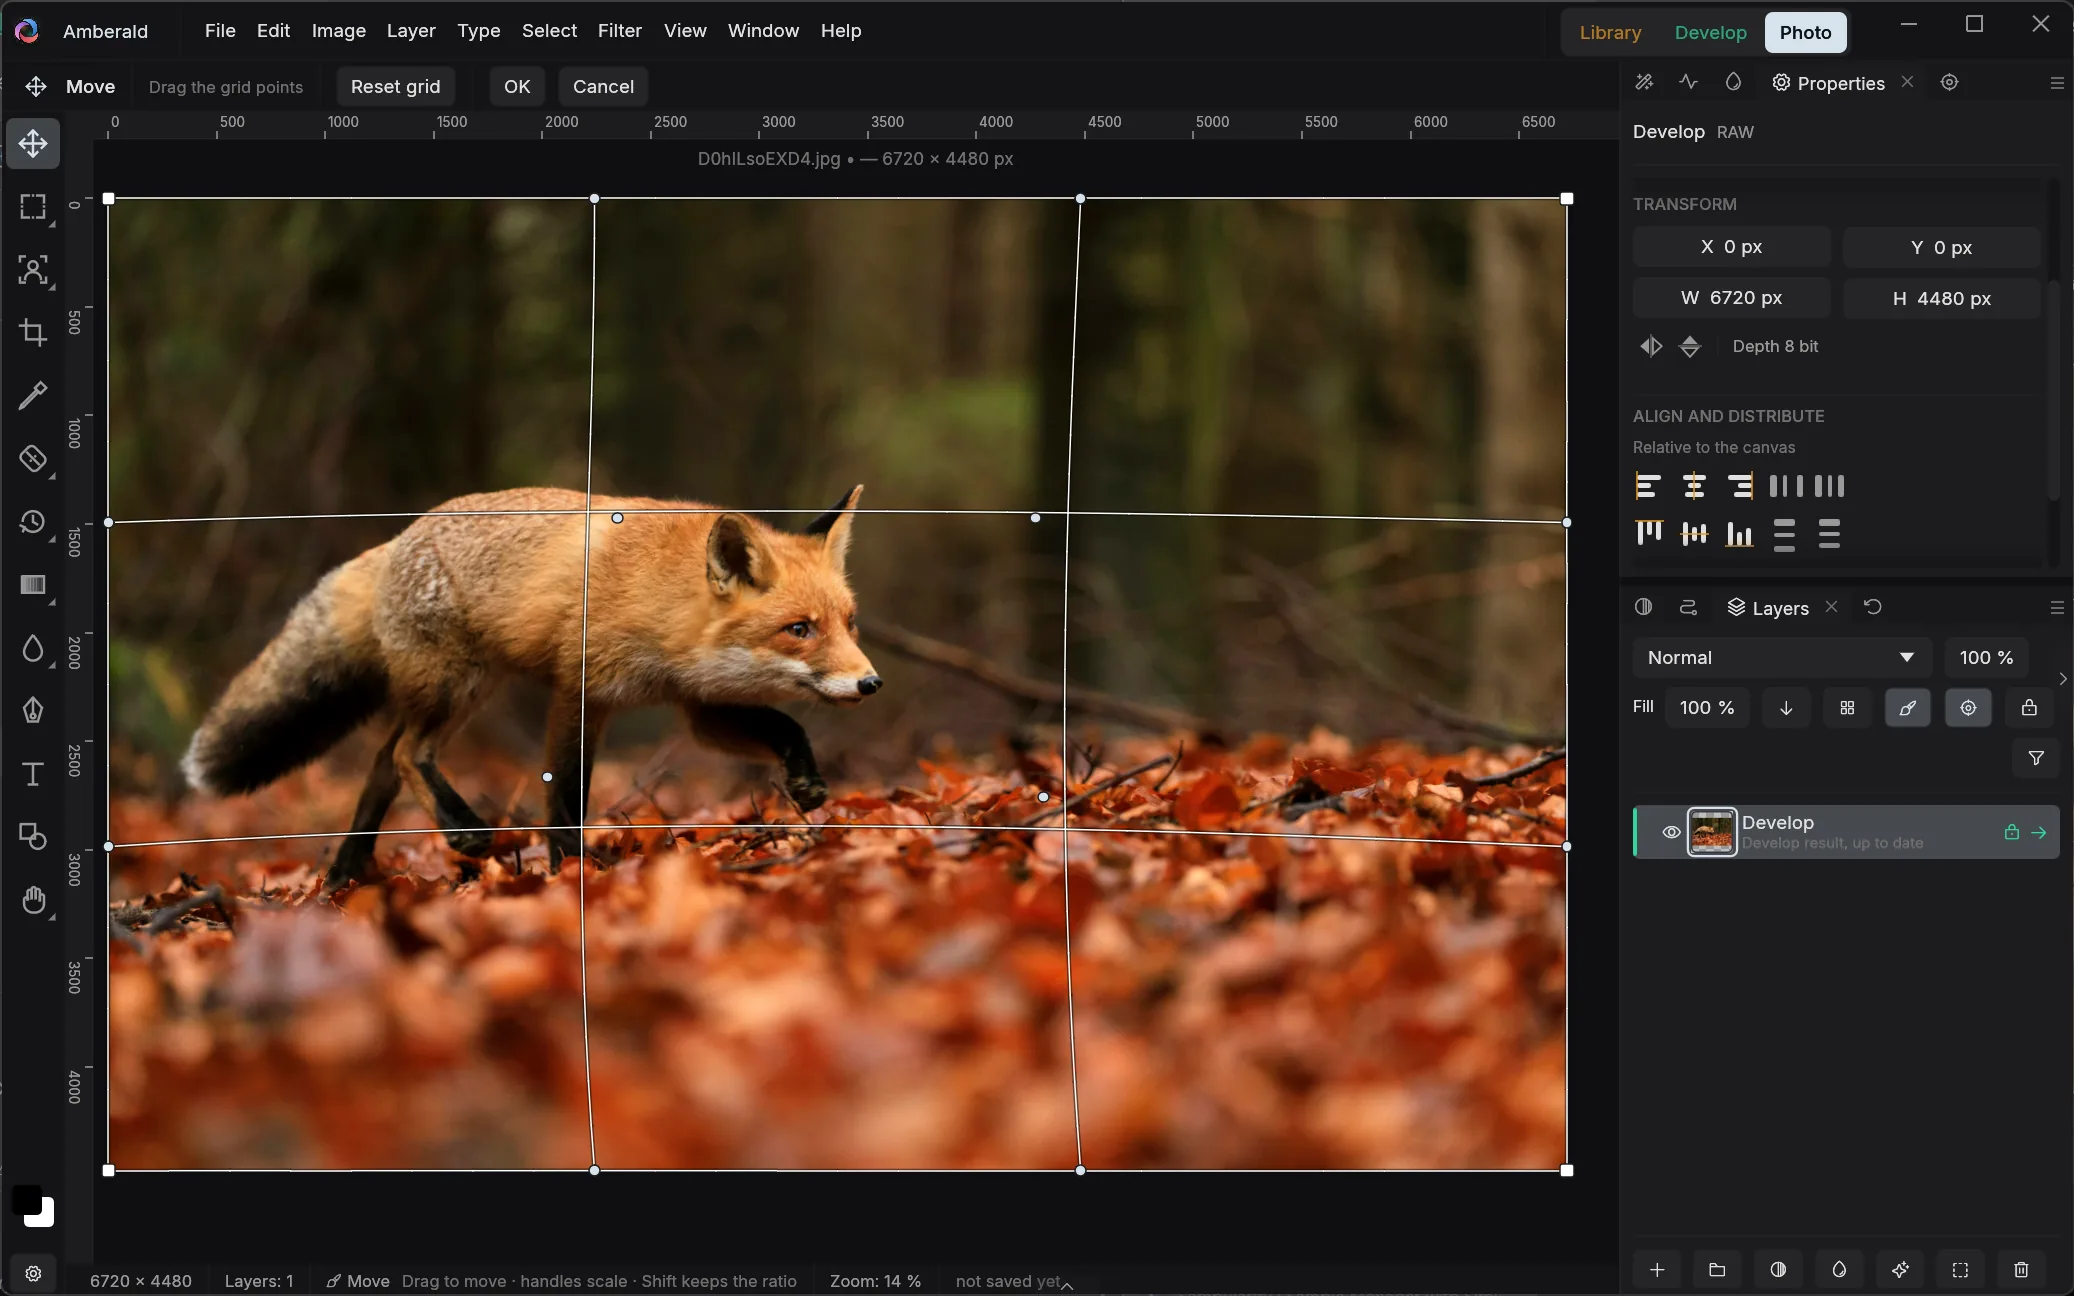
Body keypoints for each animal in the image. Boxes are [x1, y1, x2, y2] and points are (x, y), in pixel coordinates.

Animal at [180, 485, 881, 891]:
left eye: (849, 623)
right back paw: (461, 832)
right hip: (457, 684)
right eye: (799, 629)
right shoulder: (580, 692)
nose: (870, 682)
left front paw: (805, 781)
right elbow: (564, 797)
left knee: (380, 761)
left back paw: (344, 878)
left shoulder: (698, 704)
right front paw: (569, 873)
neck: (663, 601)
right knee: (405, 754)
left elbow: (787, 725)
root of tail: (399, 536)